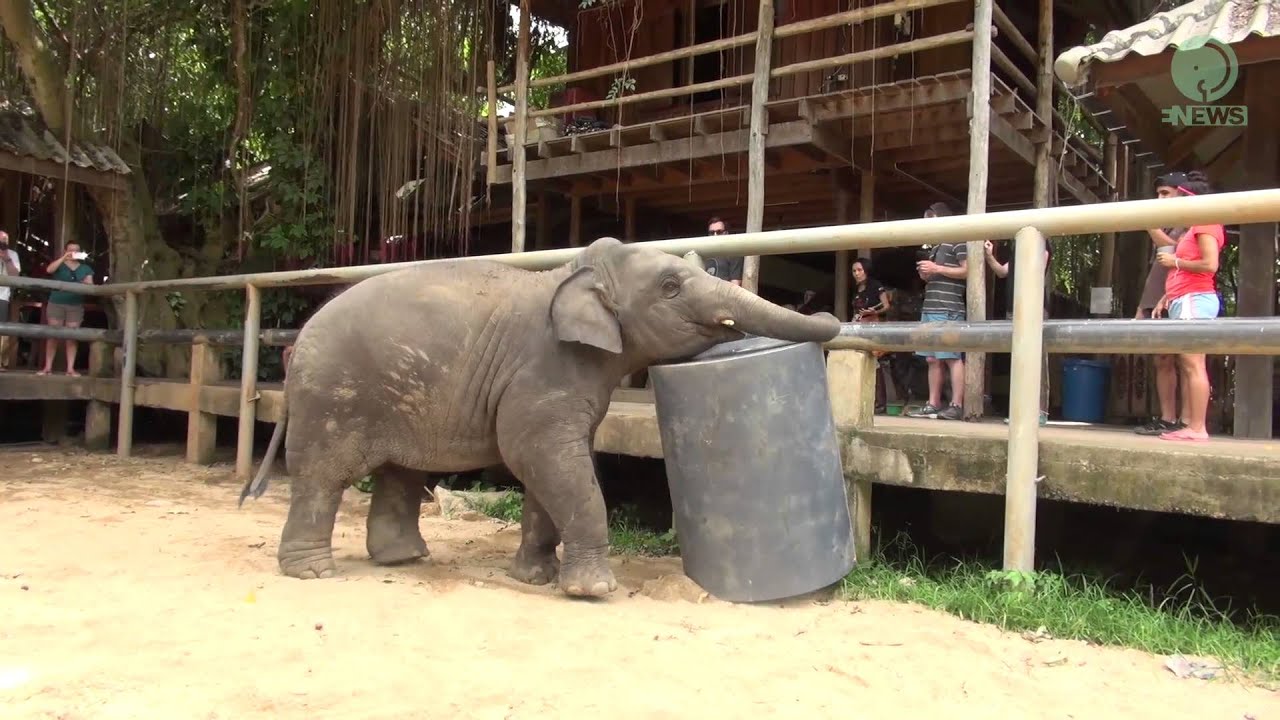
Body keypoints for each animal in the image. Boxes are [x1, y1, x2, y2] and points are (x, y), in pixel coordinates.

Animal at [238, 236, 841, 597]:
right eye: (671, 286)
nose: (829, 309)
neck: (575, 273)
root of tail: (297, 341)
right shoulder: (545, 368)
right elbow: (541, 456)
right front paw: (592, 591)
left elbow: (547, 469)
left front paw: (534, 578)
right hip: (333, 394)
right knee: (324, 475)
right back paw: (315, 573)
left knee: (400, 474)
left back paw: (403, 561)